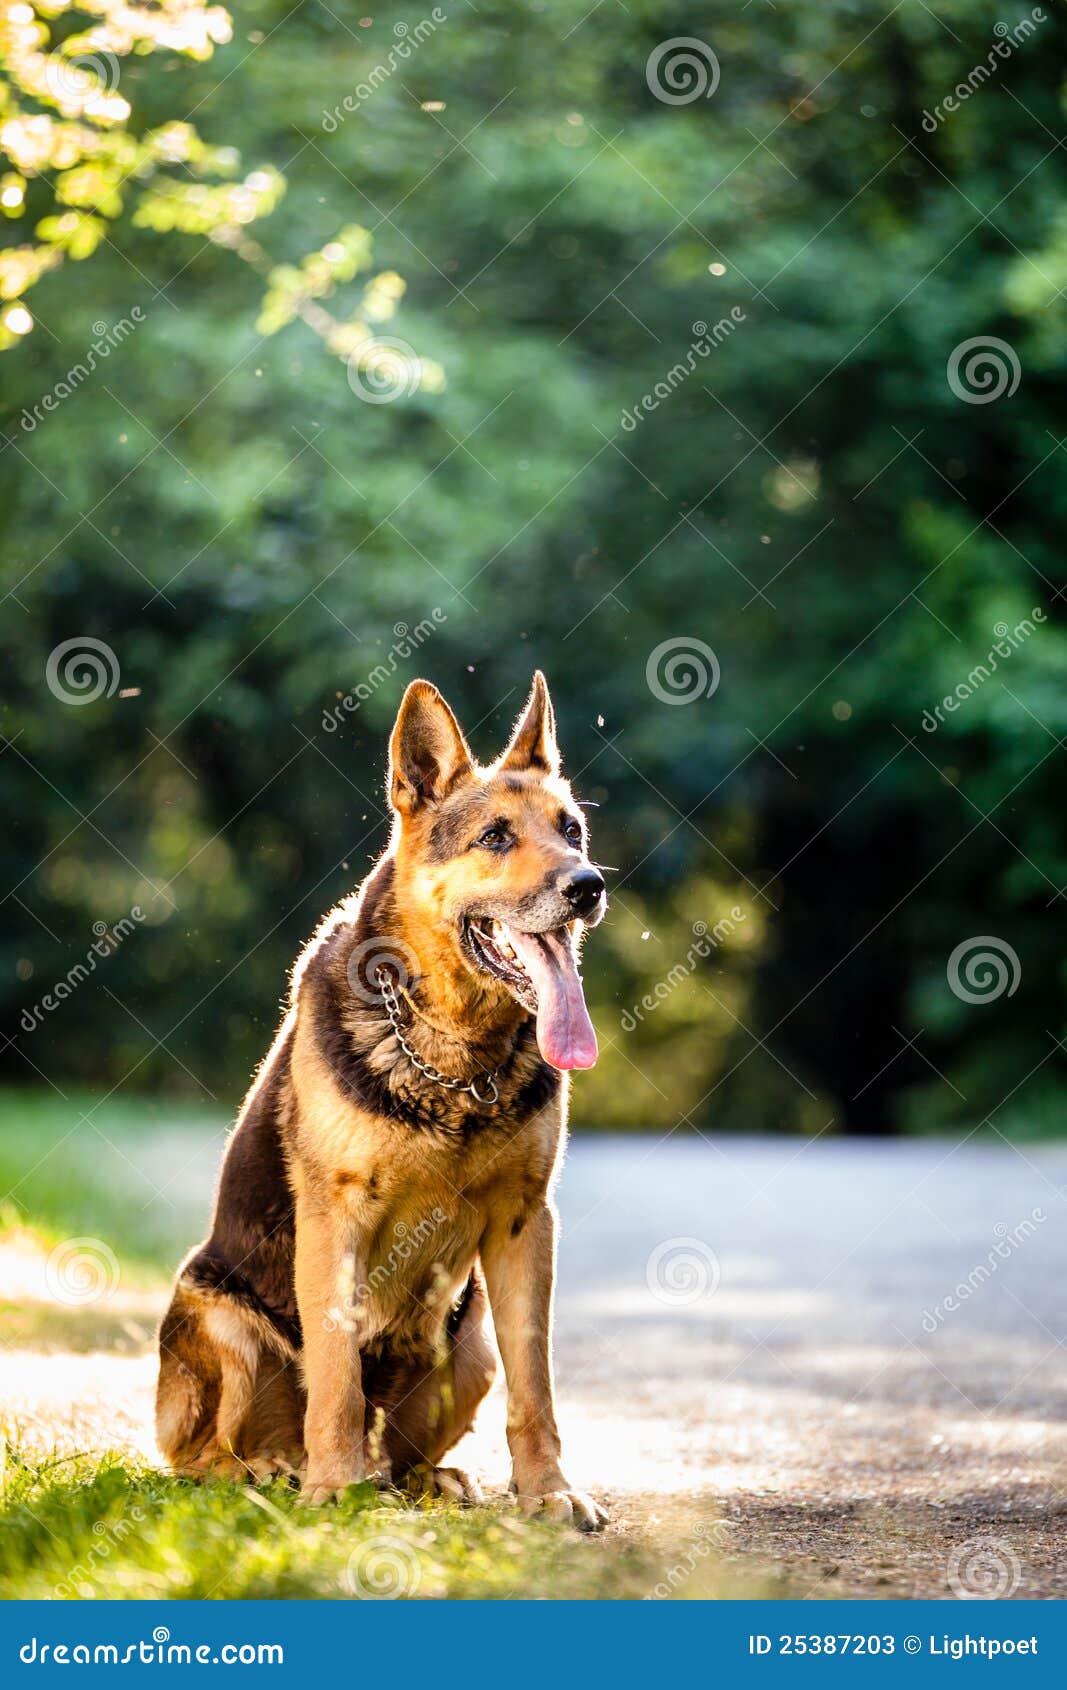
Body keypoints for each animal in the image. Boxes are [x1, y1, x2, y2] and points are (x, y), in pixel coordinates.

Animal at [156, 669, 608, 1534]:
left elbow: (536, 1390)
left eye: (571, 830)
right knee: (203, 1455)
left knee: (402, 1454)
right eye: (494, 838)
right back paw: (274, 1470)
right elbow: (334, 1375)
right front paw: (335, 1489)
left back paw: (423, 1479)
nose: (587, 886)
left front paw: (547, 1491)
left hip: (471, 1345)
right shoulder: (337, 1220)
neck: (456, 1056)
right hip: (219, 1314)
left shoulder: (524, 1228)